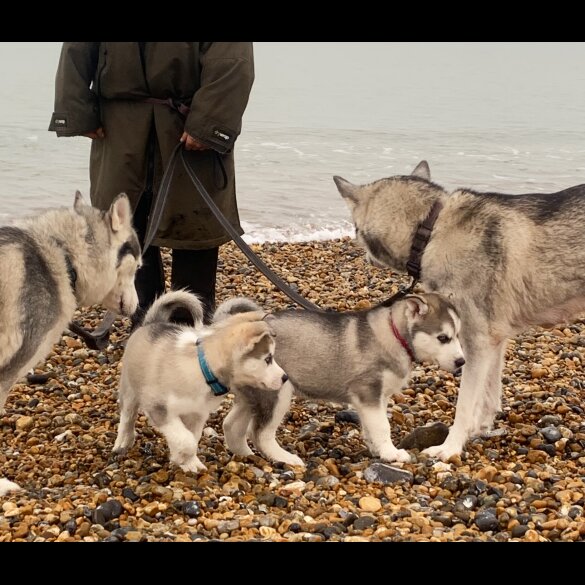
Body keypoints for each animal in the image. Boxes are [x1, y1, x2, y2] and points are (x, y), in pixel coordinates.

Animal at [112, 290, 288, 472]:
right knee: (127, 417)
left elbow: (191, 437)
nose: (285, 377)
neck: (203, 370)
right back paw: (122, 442)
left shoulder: (197, 414)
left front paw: (187, 461)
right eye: (268, 359)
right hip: (130, 390)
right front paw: (185, 459)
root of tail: (152, 322)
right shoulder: (159, 408)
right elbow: (186, 440)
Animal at [216, 292, 466, 466]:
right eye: (443, 338)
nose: (461, 362)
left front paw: (378, 449)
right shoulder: (368, 391)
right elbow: (382, 426)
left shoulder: (376, 398)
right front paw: (391, 453)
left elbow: (371, 426)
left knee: (231, 424)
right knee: (259, 433)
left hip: (252, 393)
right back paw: (285, 458)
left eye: (457, 336)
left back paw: (245, 455)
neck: (394, 335)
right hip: (277, 391)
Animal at [336, 162, 584, 458]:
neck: (430, 231)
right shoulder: (494, 340)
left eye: (354, 229)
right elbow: (488, 396)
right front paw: (480, 429)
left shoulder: (476, 342)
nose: (364, 257)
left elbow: (464, 406)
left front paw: (450, 447)